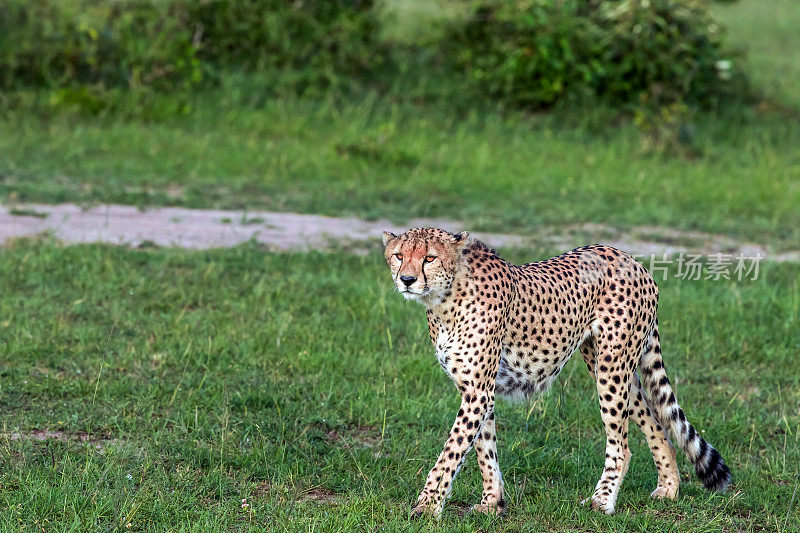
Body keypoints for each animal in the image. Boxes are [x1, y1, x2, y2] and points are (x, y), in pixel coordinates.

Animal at [382, 228, 732, 516]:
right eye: (399, 255)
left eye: (429, 258)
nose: (407, 280)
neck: (444, 299)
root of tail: (630, 258)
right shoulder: (475, 389)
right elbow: (484, 447)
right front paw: (492, 502)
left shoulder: (478, 392)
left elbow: (451, 451)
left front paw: (427, 507)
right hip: (607, 365)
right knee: (656, 423)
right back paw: (668, 488)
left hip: (612, 367)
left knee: (621, 445)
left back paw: (602, 501)